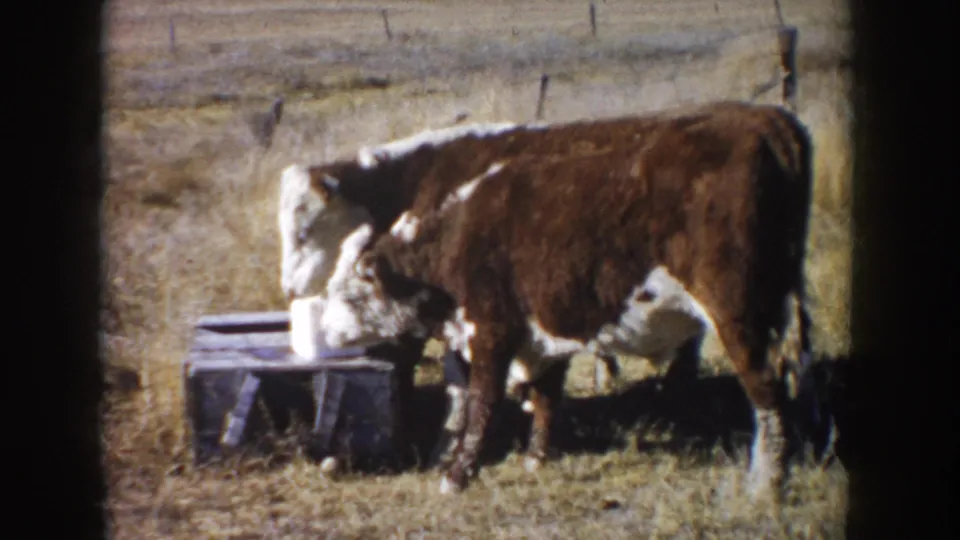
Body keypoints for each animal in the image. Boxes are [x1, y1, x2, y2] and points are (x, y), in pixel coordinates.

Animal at [313, 100, 820, 501]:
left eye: (349, 291)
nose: (319, 331)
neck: (457, 233)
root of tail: (771, 121)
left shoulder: (491, 331)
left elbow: (481, 404)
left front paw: (457, 475)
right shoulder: (539, 334)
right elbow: (543, 396)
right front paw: (535, 458)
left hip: (738, 314)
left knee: (767, 390)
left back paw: (765, 484)